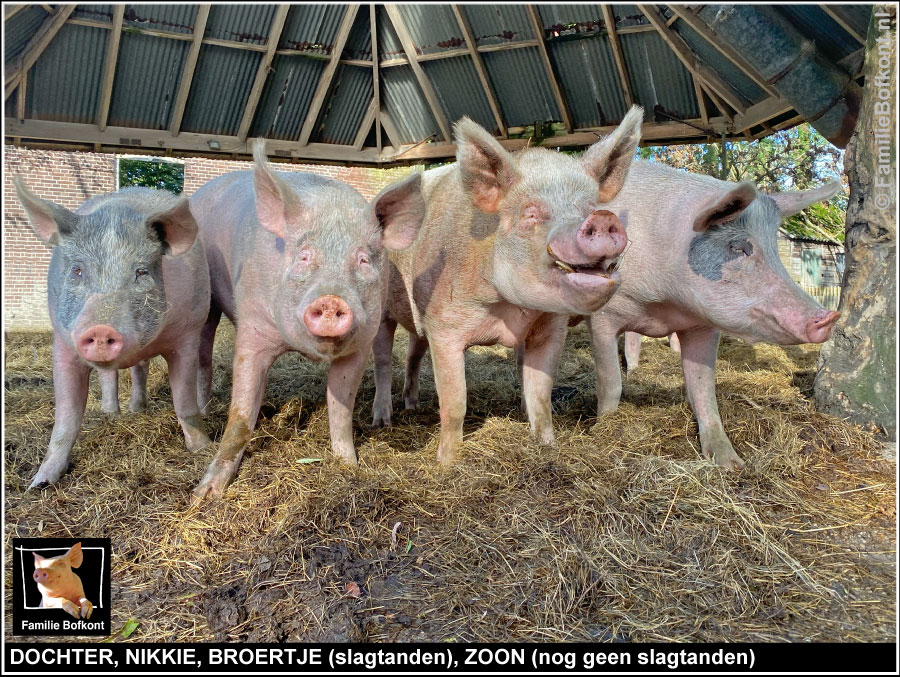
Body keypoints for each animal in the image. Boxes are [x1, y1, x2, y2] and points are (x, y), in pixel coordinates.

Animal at [14, 180, 211, 486]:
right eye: (77, 270)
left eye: (141, 271)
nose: (100, 328)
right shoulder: (62, 342)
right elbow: (66, 417)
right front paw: (39, 483)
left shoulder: (187, 336)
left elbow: (184, 401)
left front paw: (203, 449)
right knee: (111, 375)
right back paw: (112, 413)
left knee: (139, 369)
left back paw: (136, 409)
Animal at [189, 140, 426, 500]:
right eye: (303, 256)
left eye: (363, 260)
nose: (331, 300)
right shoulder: (252, 330)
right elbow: (240, 413)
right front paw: (206, 494)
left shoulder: (359, 347)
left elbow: (340, 409)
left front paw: (349, 466)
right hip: (208, 300)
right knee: (204, 348)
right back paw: (204, 409)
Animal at [374, 107, 648, 464]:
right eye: (530, 214)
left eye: (589, 208)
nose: (602, 219)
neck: (510, 310)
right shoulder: (444, 327)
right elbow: (455, 402)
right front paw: (447, 464)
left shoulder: (550, 330)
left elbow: (540, 395)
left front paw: (547, 447)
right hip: (382, 312)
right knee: (382, 361)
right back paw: (383, 420)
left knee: (413, 354)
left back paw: (412, 405)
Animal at [588, 163, 840, 468]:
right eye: (737, 247)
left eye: (774, 251)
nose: (828, 318)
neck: (664, 304)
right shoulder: (603, 315)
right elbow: (611, 382)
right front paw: (603, 427)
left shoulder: (703, 326)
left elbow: (704, 388)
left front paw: (731, 464)